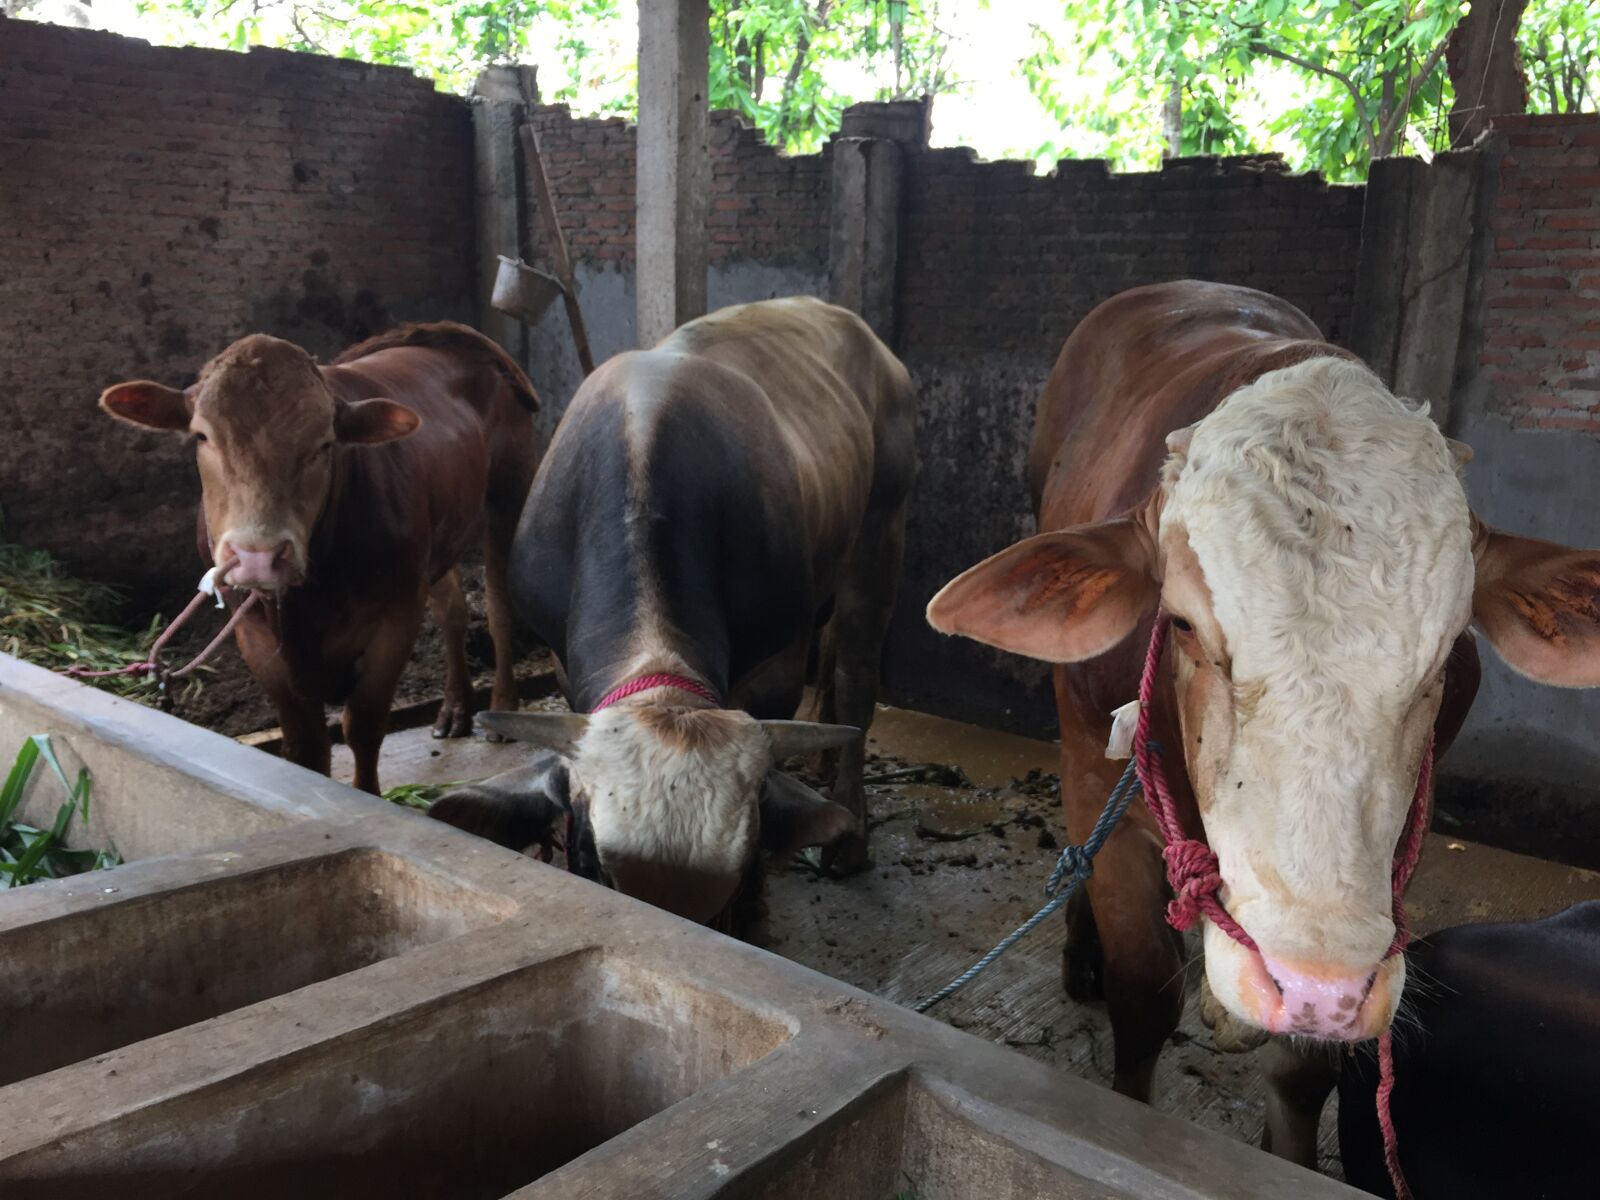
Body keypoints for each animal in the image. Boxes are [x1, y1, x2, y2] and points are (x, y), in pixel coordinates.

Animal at [98, 322, 542, 795]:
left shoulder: (398, 614)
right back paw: (455, 709)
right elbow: (306, 744)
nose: (257, 557)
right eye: (202, 436)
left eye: (324, 444)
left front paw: (367, 795)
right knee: (452, 610)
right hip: (442, 532)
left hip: (508, 495)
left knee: (498, 607)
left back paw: (502, 707)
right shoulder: (253, 633)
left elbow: (362, 725)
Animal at [429, 295, 916, 928]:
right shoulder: (561, 658)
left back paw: (851, 834)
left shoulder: (777, 662)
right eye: (590, 860)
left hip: (883, 523)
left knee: (856, 675)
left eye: (737, 882)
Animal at [925, 280, 1600, 1164]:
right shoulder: (1096, 773)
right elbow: (1142, 999)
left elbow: (1304, 1070)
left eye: (1448, 651)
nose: (1317, 987)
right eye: (1180, 622)